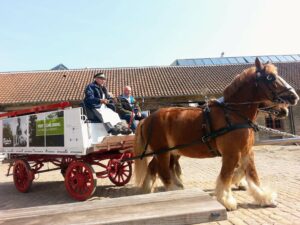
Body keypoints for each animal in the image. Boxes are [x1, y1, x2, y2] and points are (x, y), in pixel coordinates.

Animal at [134, 57, 300, 209]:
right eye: (270, 77)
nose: (294, 97)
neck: (233, 113)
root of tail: (147, 118)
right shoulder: (231, 153)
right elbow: (226, 175)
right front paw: (226, 199)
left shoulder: (247, 151)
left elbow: (252, 174)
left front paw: (263, 196)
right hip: (162, 151)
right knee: (163, 172)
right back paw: (174, 191)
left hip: (169, 151)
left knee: (156, 168)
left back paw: (153, 188)